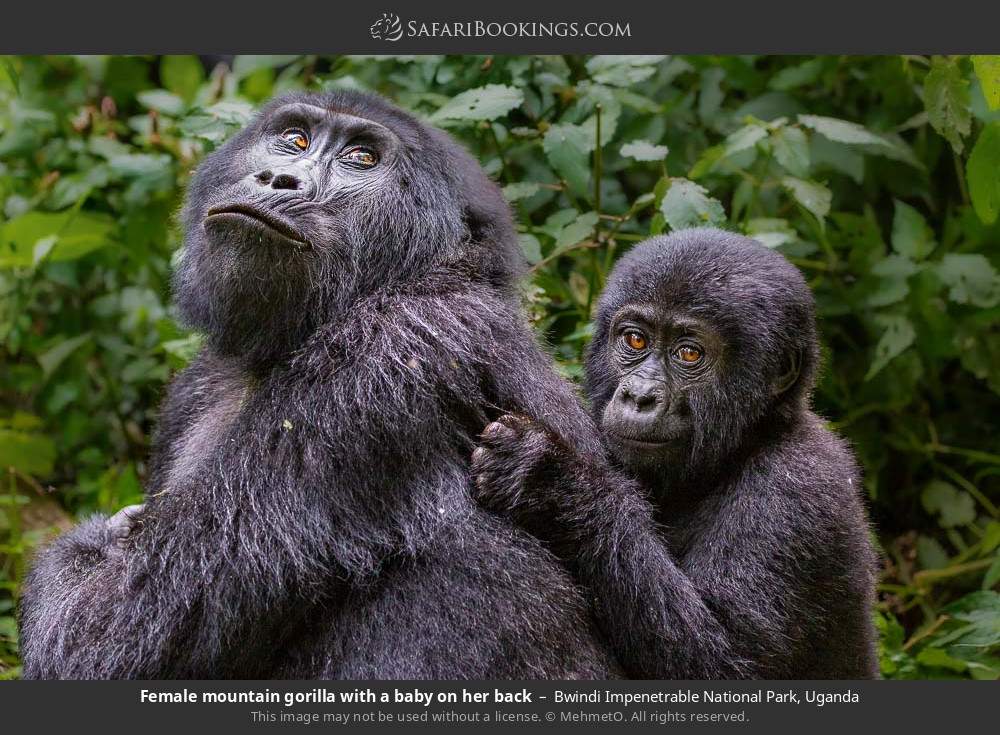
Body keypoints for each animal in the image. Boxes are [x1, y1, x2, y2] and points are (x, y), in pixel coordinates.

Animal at [19, 95, 620, 680]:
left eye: (361, 158)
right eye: (295, 139)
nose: (279, 179)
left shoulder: (387, 355)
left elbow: (102, 632)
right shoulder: (195, 385)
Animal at [472, 229, 880, 680]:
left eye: (688, 353)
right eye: (635, 339)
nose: (639, 396)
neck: (750, 440)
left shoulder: (797, 490)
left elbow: (724, 663)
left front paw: (552, 484)